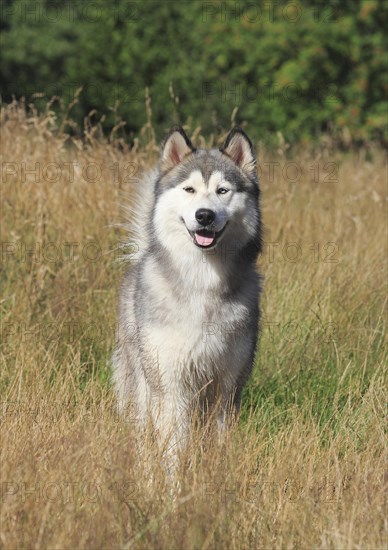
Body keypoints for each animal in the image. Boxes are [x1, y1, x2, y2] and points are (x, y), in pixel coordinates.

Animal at [113, 126, 264, 452]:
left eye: (223, 191)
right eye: (189, 190)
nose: (204, 215)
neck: (202, 280)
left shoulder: (227, 385)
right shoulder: (170, 383)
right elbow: (174, 446)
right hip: (142, 386)